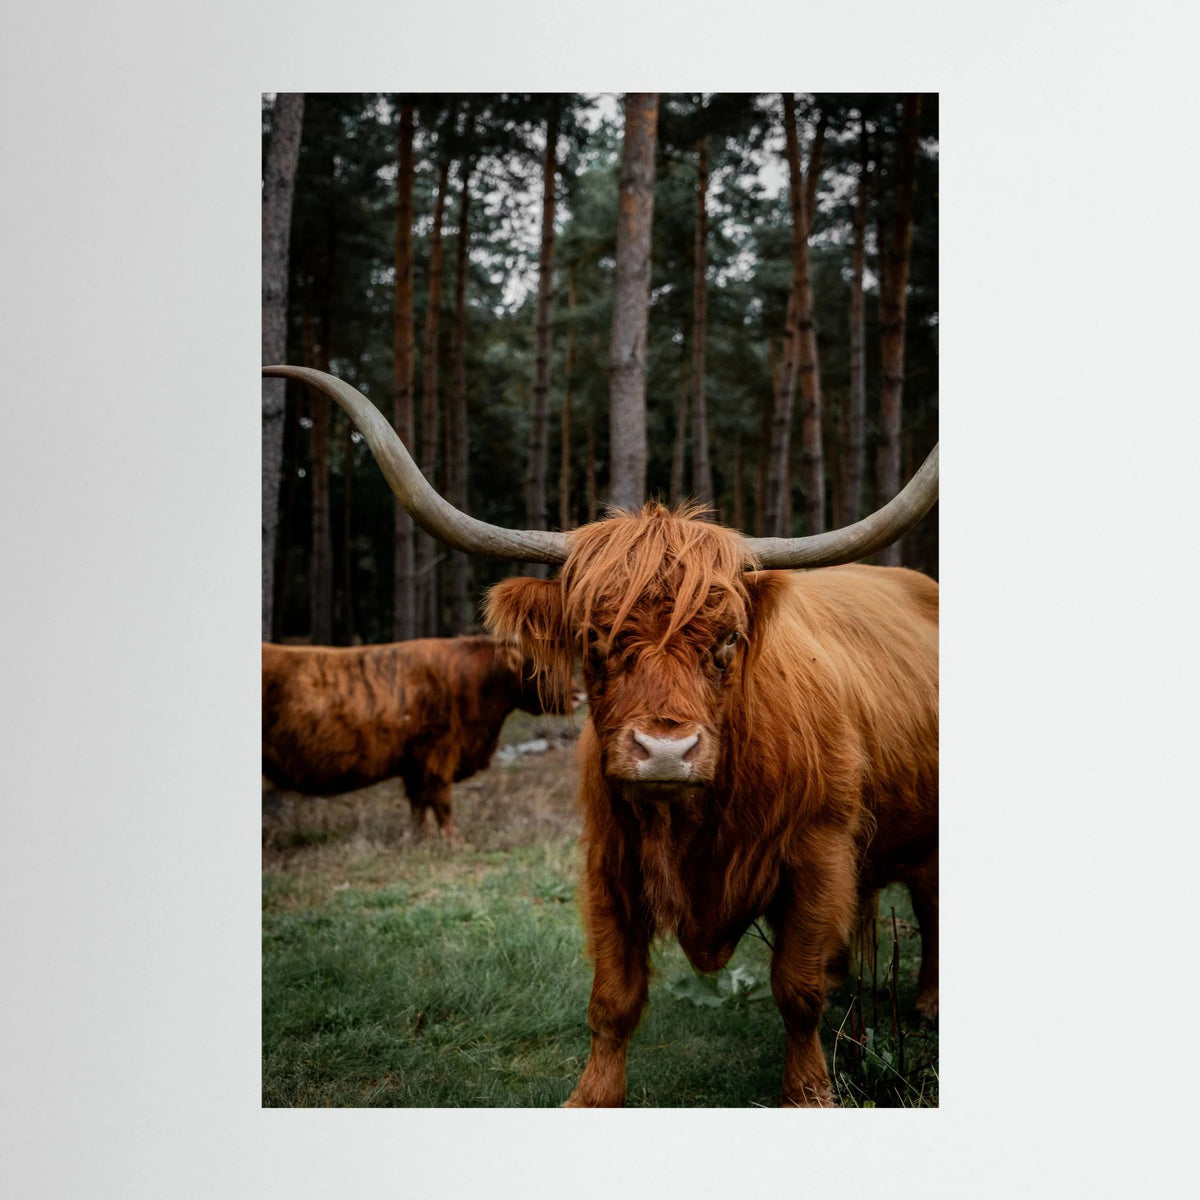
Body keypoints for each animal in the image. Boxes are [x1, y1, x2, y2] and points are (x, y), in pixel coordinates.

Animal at [262, 636, 567, 842]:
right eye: (543, 670)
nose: (575, 695)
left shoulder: (414, 764)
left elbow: (418, 804)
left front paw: (419, 838)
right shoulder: (439, 753)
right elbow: (441, 801)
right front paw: (455, 841)